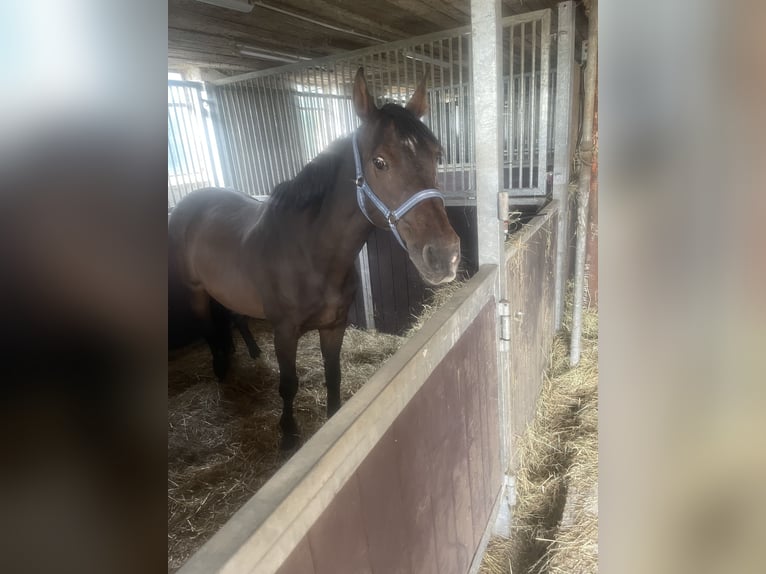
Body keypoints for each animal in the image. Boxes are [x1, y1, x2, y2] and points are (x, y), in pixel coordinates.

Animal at [168, 68, 460, 450]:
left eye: (436, 156)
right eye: (380, 162)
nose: (445, 255)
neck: (311, 255)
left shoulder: (334, 325)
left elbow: (332, 374)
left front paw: (331, 416)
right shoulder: (285, 331)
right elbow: (288, 384)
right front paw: (289, 435)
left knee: (235, 316)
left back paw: (251, 353)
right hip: (196, 293)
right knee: (209, 330)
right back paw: (222, 372)